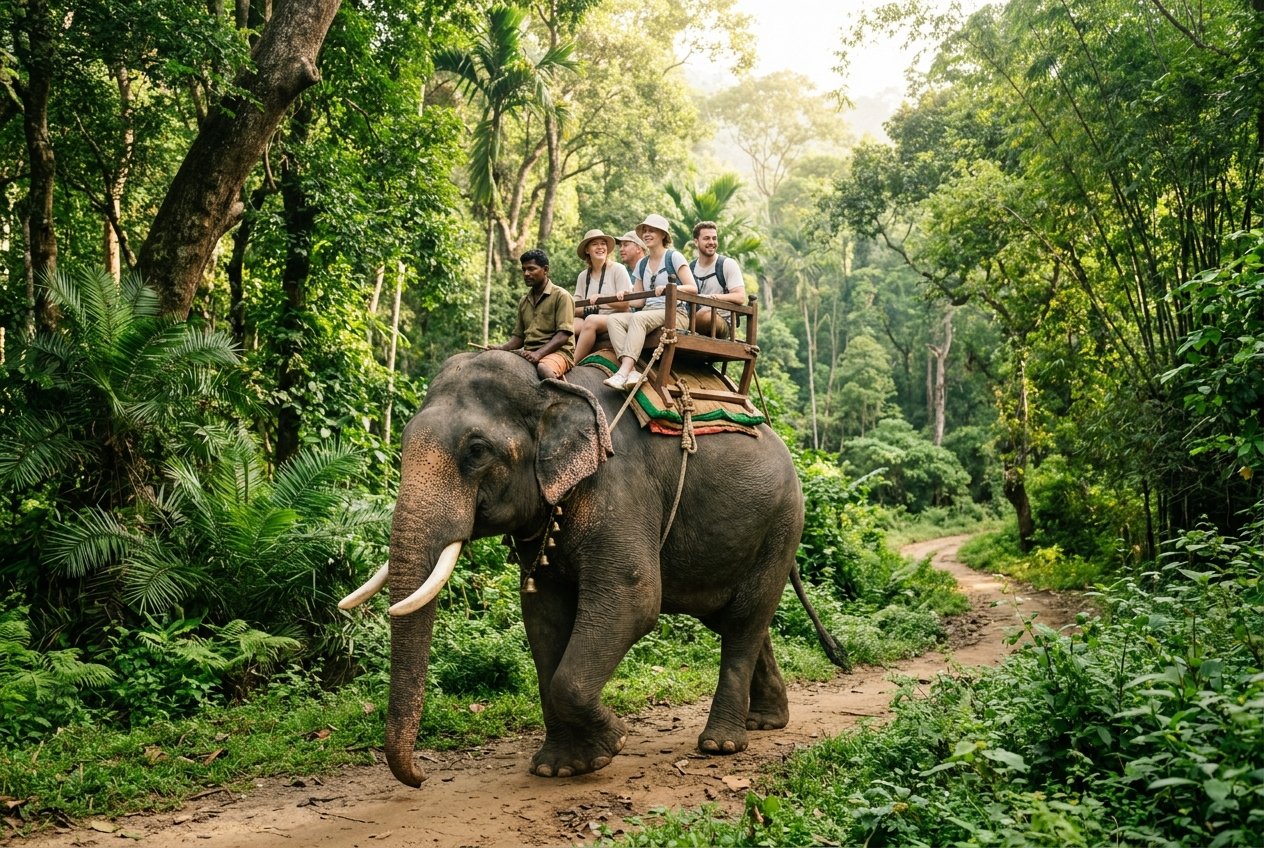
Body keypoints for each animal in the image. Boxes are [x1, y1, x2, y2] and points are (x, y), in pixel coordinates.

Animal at [340, 350, 846, 788]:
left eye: (477, 450)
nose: (422, 777)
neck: (550, 389)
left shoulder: (619, 486)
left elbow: (633, 599)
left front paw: (613, 743)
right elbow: (542, 616)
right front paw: (560, 767)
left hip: (783, 522)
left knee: (744, 620)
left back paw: (721, 744)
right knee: (735, 619)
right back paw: (766, 721)